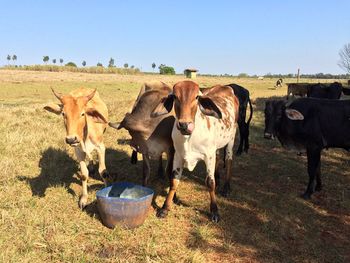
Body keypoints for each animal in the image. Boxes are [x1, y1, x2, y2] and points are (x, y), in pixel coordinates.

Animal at [152, 80, 239, 223]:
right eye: (175, 96)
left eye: (197, 97)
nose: (184, 125)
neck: (189, 138)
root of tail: (225, 87)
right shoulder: (178, 155)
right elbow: (174, 181)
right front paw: (165, 208)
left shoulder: (208, 156)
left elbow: (210, 183)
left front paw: (214, 211)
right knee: (218, 156)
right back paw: (218, 177)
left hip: (231, 138)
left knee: (229, 159)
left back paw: (226, 187)